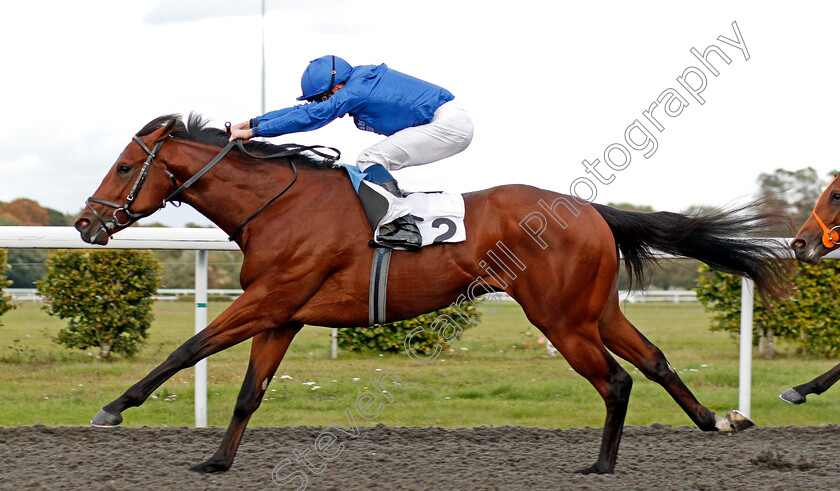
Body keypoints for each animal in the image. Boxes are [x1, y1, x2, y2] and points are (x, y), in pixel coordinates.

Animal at [75, 113, 792, 474]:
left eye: (122, 165)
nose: (85, 222)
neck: (279, 205)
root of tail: (591, 210)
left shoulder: (267, 301)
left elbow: (187, 349)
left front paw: (111, 408)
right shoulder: (283, 313)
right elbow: (250, 392)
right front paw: (217, 461)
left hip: (560, 318)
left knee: (616, 380)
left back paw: (601, 466)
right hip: (596, 309)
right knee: (655, 360)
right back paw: (717, 419)